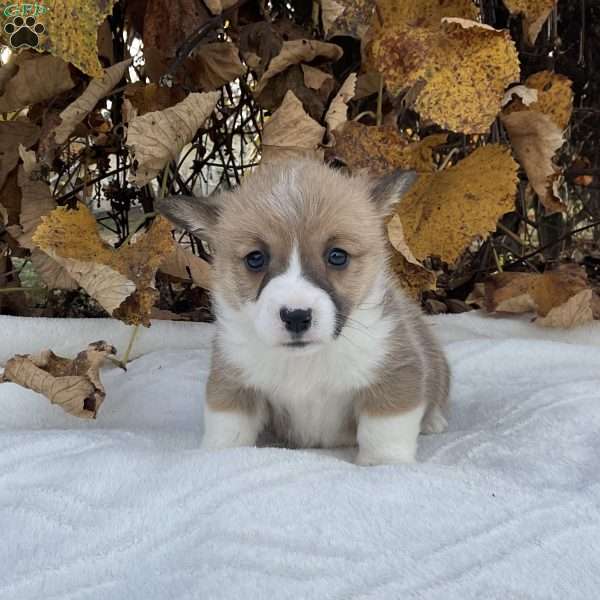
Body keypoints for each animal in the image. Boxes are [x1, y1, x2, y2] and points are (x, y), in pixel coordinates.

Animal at [157, 159, 448, 464]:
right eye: (255, 258)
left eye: (337, 256)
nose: (296, 317)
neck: (304, 361)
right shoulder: (235, 384)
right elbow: (227, 430)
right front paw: (215, 457)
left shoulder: (393, 375)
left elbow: (383, 431)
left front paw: (383, 463)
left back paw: (432, 421)